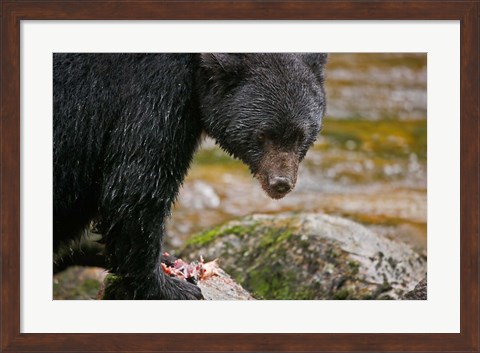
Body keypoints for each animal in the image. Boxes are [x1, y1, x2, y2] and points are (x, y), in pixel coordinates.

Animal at [54, 53, 328, 298]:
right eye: (263, 134)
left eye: (301, 135)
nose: (280, 183)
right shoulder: (156, 93)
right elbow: (135, 187)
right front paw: (167, 286)